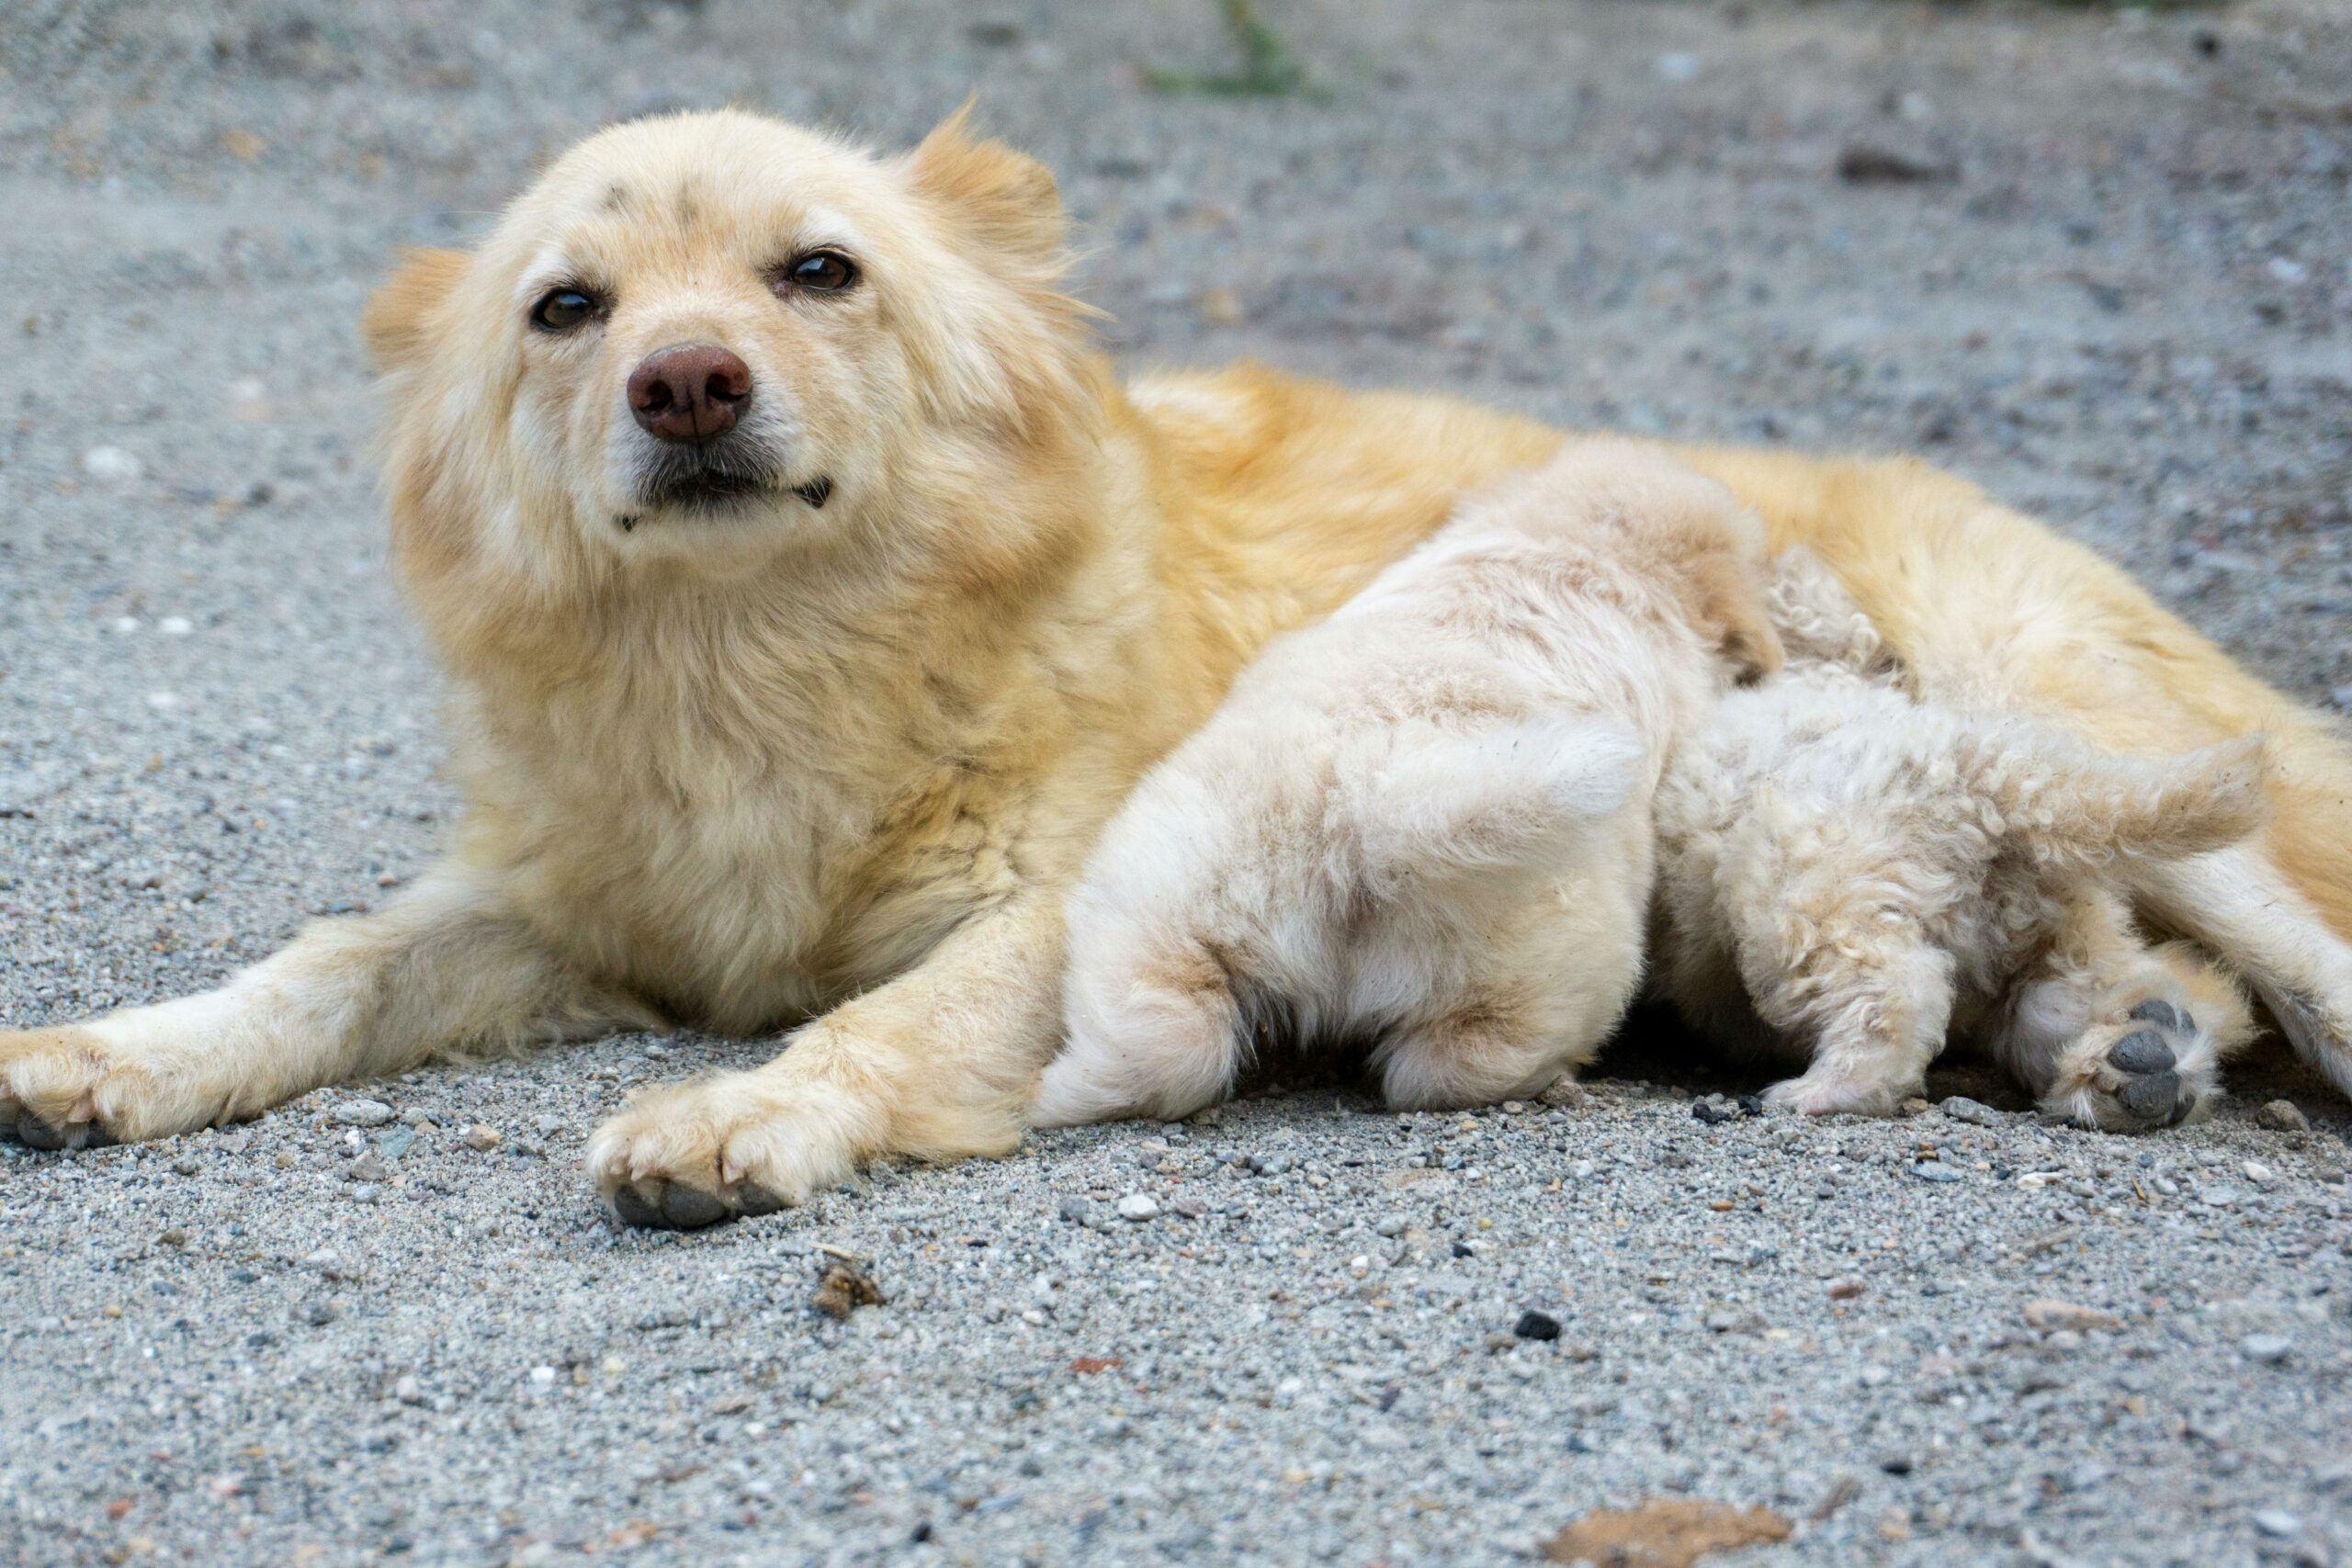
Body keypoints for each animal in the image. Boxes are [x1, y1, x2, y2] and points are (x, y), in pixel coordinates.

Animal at [1039, 442, 1769, 1128]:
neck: (1583, 548)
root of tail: (1367, 819)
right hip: (1544, 972)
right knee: (1453, 1069)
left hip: (1160, 905)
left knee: (1158, 1049)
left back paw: (1044, 1097)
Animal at [1646, 552, 2267, 1128]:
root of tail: (1994, 782)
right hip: (2056, 925)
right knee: (2063, 1001)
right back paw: (2144, 1059)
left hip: (1807, 901)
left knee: (1895, 997)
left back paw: (1823, 1091)